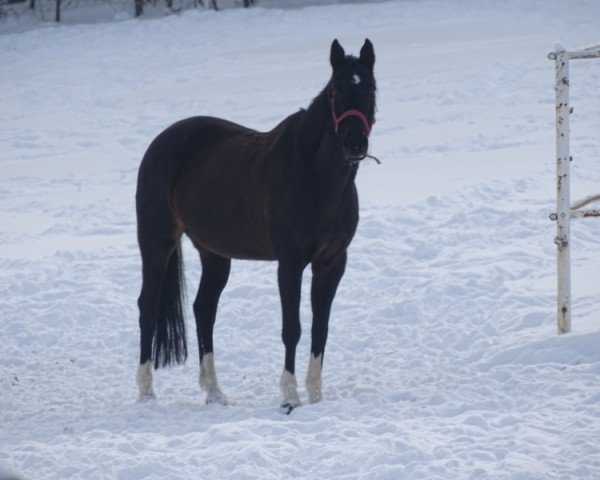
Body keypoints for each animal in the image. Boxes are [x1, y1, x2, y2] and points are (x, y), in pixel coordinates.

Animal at [138, 38, 378, 412]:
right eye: (337, 90)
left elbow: (320, 329)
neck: (315, 176)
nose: (355, 143)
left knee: (203, 309)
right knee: (147, 307)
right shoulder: (290, 264)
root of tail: (159, 143)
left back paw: (215, 393)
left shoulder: (332, 263)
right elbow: (292, 328)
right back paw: (147, 393)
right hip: (156, 244)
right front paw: (290, 398)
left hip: (214, 254)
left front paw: (316, 396)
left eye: (369, 87)